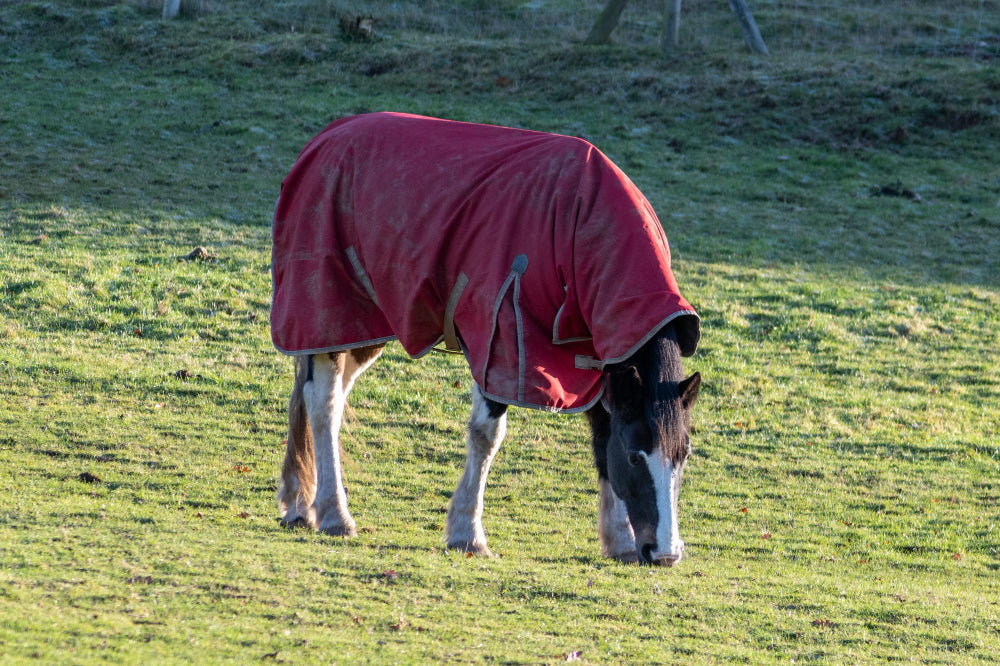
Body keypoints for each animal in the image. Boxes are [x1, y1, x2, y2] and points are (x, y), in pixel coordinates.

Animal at [271, 112, 702, 565]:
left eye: (683, 454)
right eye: (637, 456)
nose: (665, 552)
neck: (578, 229)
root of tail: (328, 136)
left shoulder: (599, 361)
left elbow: (603, 438)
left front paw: (620, 540)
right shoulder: (500, 341)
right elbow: (487, 435)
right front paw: (467, 533)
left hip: (362, 329)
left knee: (322, 398)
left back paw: (300, 504)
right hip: (327, 314)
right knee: (323, 404)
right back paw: (334, 514)